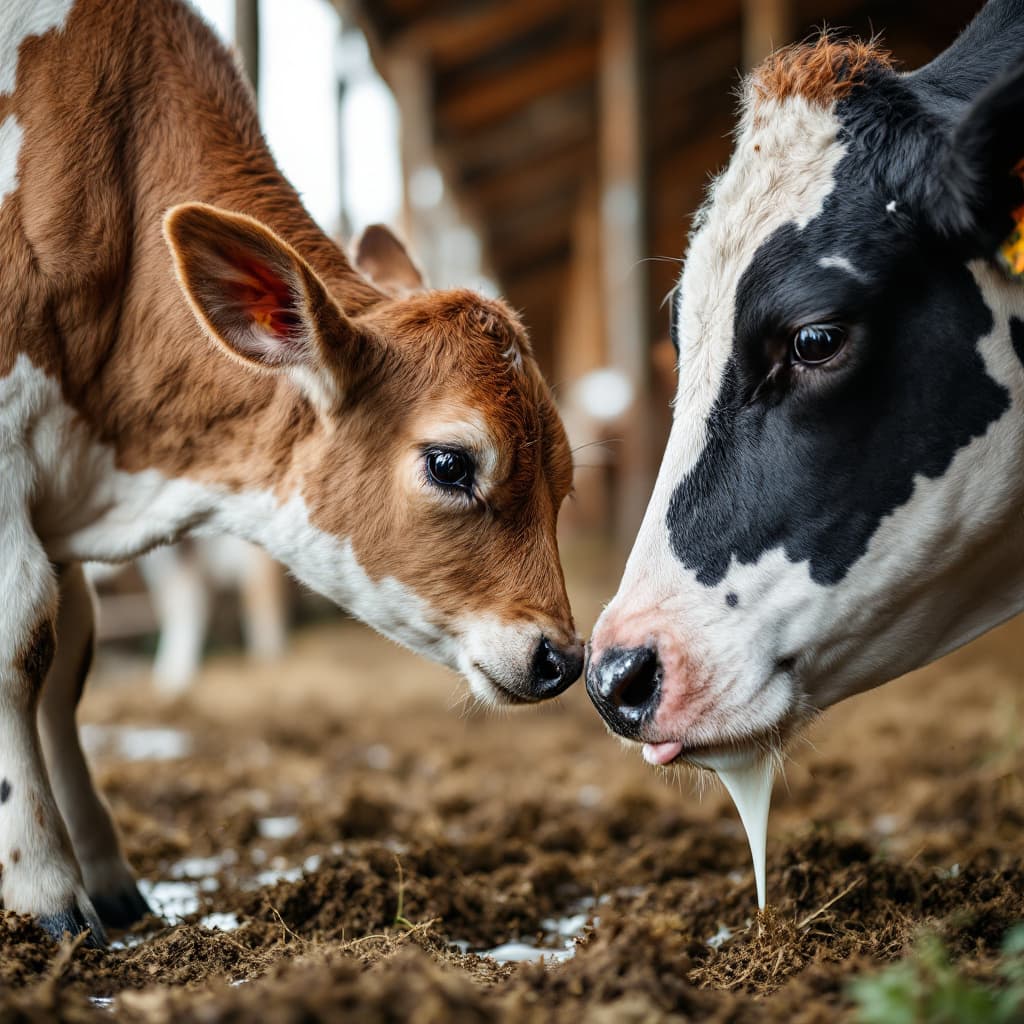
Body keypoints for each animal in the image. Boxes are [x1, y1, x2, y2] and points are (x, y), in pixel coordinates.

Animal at [0, 0, 582, 945]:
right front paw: (46, 886)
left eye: (564, 482)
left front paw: (110, 878)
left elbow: (66, 665)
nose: (563, 658)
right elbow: (22, 645)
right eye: (451, 463)